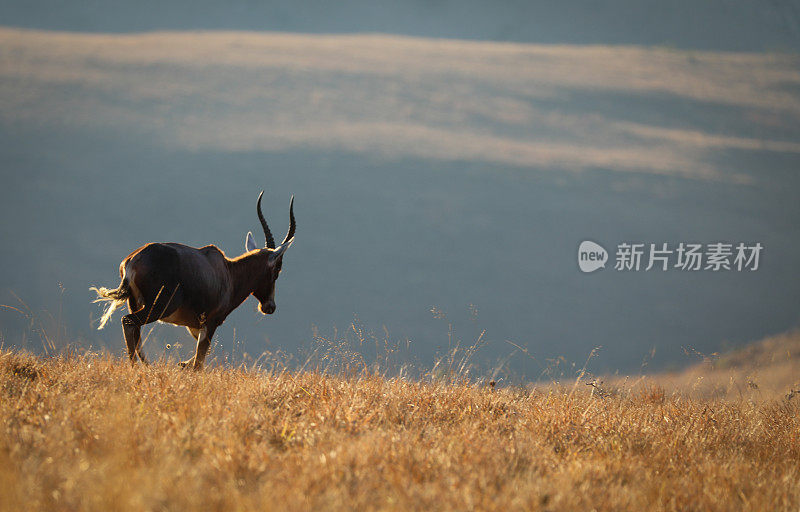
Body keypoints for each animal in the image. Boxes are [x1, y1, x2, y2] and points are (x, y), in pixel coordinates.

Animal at [90, 191, 296, 368]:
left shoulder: (194, 326)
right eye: (277, 269)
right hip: (157, 308)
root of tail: (132, 260)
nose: (269, 307)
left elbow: (200, 354)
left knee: (136, 331)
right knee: (128, 322)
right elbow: (200, 360)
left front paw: (182, 364)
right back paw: (138, 366)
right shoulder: (211, 323)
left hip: (136, 304)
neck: (228, 271)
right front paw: (185, 365)